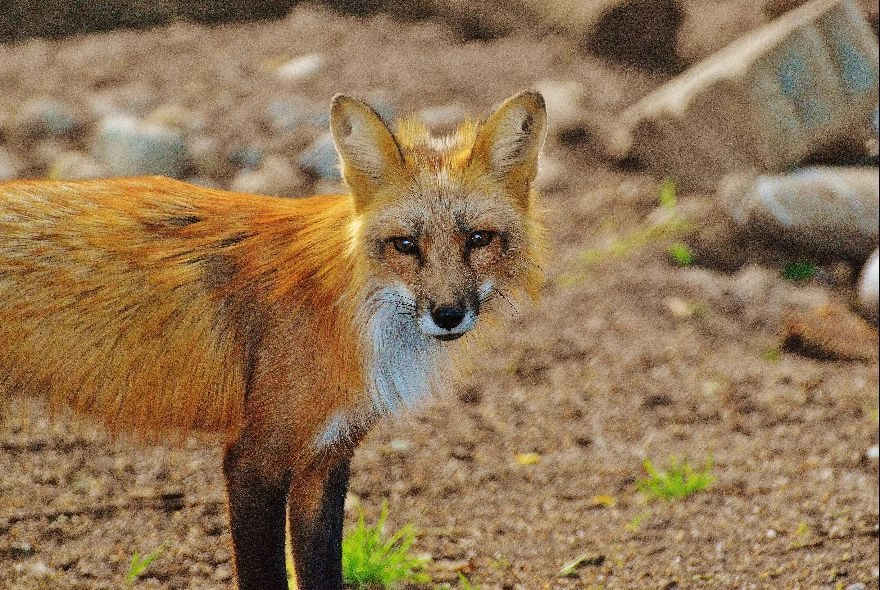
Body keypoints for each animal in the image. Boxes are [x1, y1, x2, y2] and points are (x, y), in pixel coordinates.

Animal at [0, 90, 548, 588]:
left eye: (478, 239)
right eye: (405, 245)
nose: (448, 315)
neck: (349, 313)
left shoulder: (325, 458)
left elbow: (323, 573)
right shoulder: (253, 459)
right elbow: (263, 574)